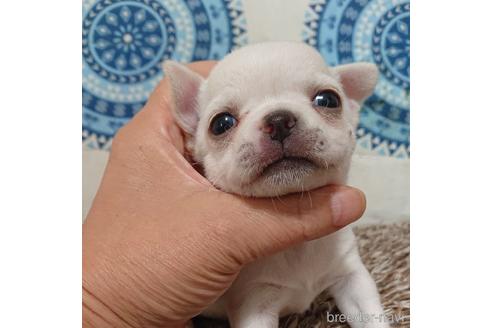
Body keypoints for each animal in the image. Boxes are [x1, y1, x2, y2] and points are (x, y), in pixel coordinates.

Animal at [165, 42, 388, 326]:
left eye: (328, 100)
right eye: (221, 123)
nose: (279, 120)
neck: (299, 247)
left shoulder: (352, 277)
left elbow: (371, 316)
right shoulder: (255, 303)